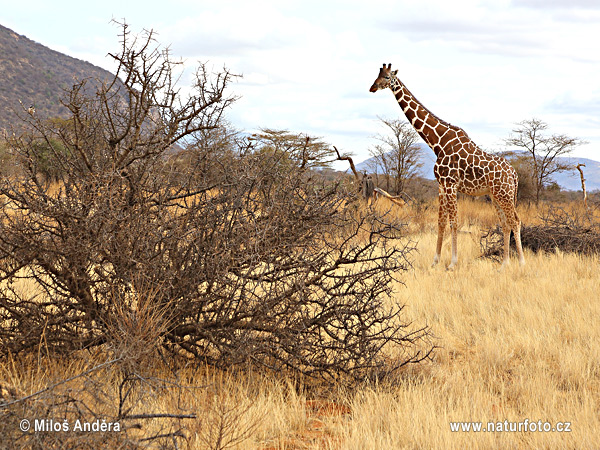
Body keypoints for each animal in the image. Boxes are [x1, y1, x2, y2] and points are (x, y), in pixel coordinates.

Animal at [368, 62, 524, 268]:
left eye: (387, 77)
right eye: (377, 74)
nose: (372, 87)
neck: (438, 142)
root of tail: (514, 174)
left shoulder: (451, 184)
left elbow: (454, 222)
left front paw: (452, 263)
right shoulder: (441, 185)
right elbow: (441, 222)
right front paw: (435, 261)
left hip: (504, 194)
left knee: (515, 221)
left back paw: (521, 262)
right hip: (496, 195)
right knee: (506, 223)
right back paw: (504, 264)